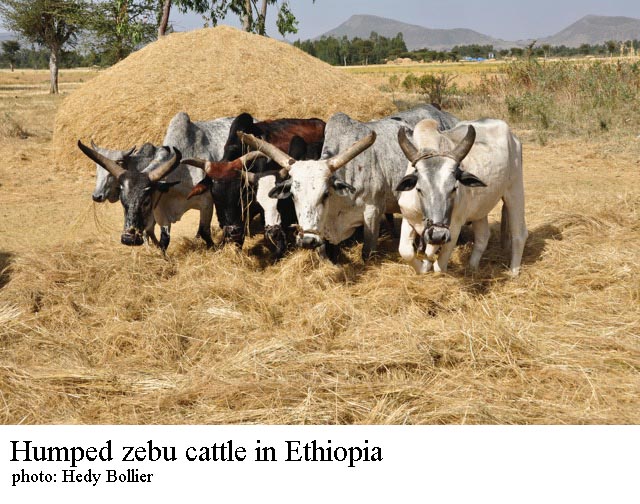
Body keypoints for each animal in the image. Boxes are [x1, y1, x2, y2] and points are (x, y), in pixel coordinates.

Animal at [398, 118, 528, 276]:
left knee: (519, 234)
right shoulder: (408, 218)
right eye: (419, 189)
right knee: (483, 236)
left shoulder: (454, 227)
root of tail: (513, 137)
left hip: (515, 190)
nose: (438, 235)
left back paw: (513, 272)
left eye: (454, 188)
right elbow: (406, 251)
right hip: (480, 208)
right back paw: (472, 267)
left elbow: (439, 267)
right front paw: (423, 267)